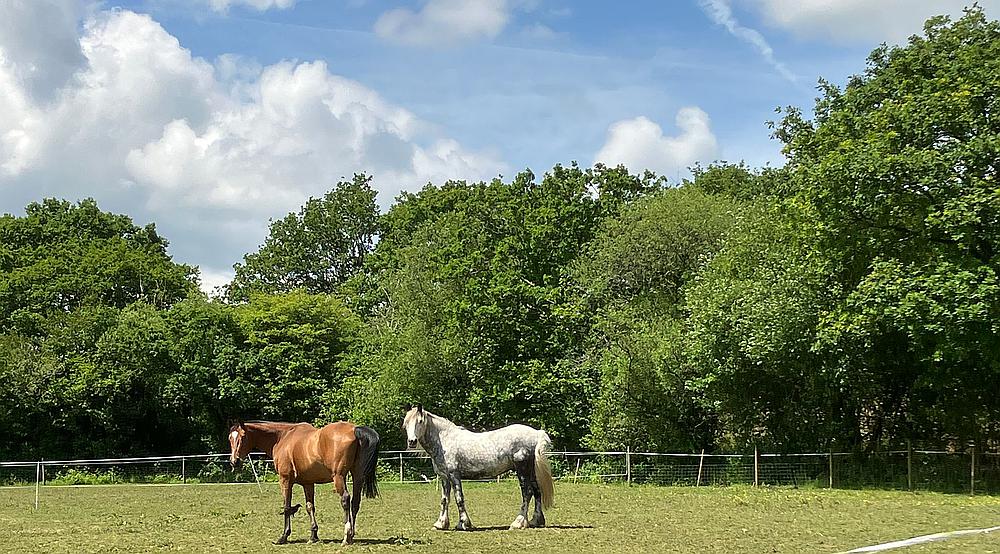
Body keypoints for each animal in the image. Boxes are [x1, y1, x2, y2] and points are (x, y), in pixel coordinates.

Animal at [229, 418, 380, 544]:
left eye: (242, 437)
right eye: (230, 438)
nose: (234, 461)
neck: (282, 437)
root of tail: (354, 429)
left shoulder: (285, 480)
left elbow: (287, 507)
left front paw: (284, 536)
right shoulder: (308, 483)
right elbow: (310, 507)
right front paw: (313, 536)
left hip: (338, 477)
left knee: (345, 499)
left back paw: (346, 535)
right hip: (357, 476)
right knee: (355, 502)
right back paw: (352, 534)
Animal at [402, 404, 556, 528]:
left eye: (420, 421)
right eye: (406, 423)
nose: (412, 441)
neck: (444, 440)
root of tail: (536, 433)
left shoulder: (454, 475)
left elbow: (459, 498)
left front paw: (463, 523)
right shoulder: (444, 477)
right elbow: (445, 500)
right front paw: (441, 524)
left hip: (522, 469)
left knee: (527, 493)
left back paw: (518, 523)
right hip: (531, 471)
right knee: (537, 491)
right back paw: (536, 521)